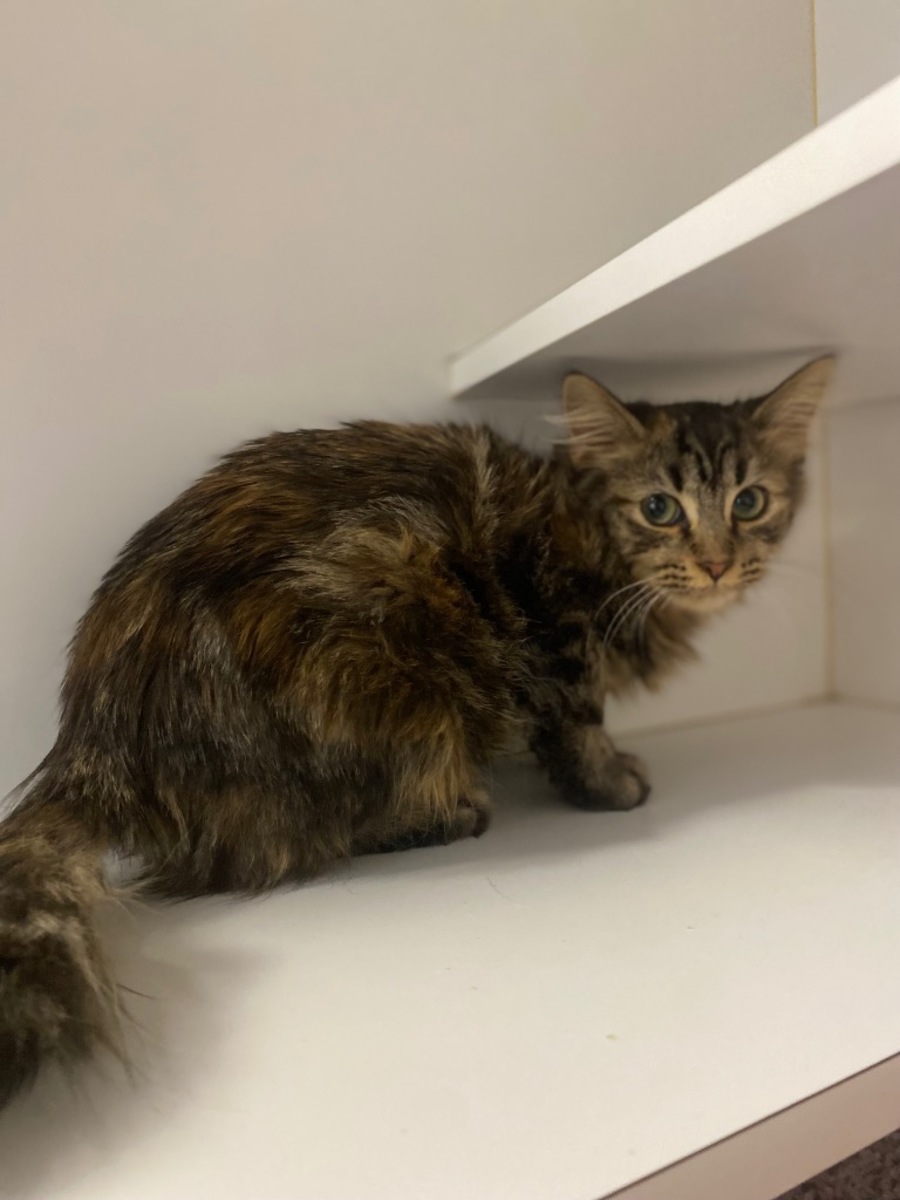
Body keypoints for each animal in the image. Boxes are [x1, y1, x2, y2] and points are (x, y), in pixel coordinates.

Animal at [0, 358, 832, 1108]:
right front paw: (609, 783)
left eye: (750, 502)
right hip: (381, 660)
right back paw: (446, 813)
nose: (717, 562)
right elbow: (577, 723)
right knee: (294, 843)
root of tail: (92, 744)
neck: (588, 530)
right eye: (660, 508)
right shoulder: (557, 634)